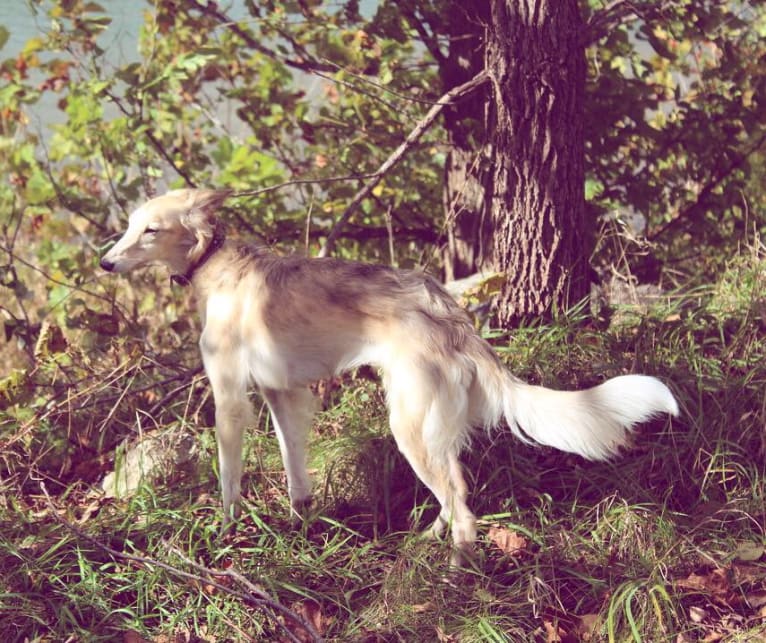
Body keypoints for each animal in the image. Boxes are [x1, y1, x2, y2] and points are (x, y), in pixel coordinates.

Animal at [100, 187, 680, 564]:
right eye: (128, 225)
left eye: (150, 230)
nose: (105, 264)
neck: (216, 264)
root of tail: (450, 314)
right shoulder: (284, 394)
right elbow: (295, 473)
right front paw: (302, 524)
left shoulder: (230, 399)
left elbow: (227, 479)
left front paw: (225, 533)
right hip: (426, 425)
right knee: (453, 493)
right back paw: (425, 541)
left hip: (409, 425)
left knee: (464, 510)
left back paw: (453, 576)